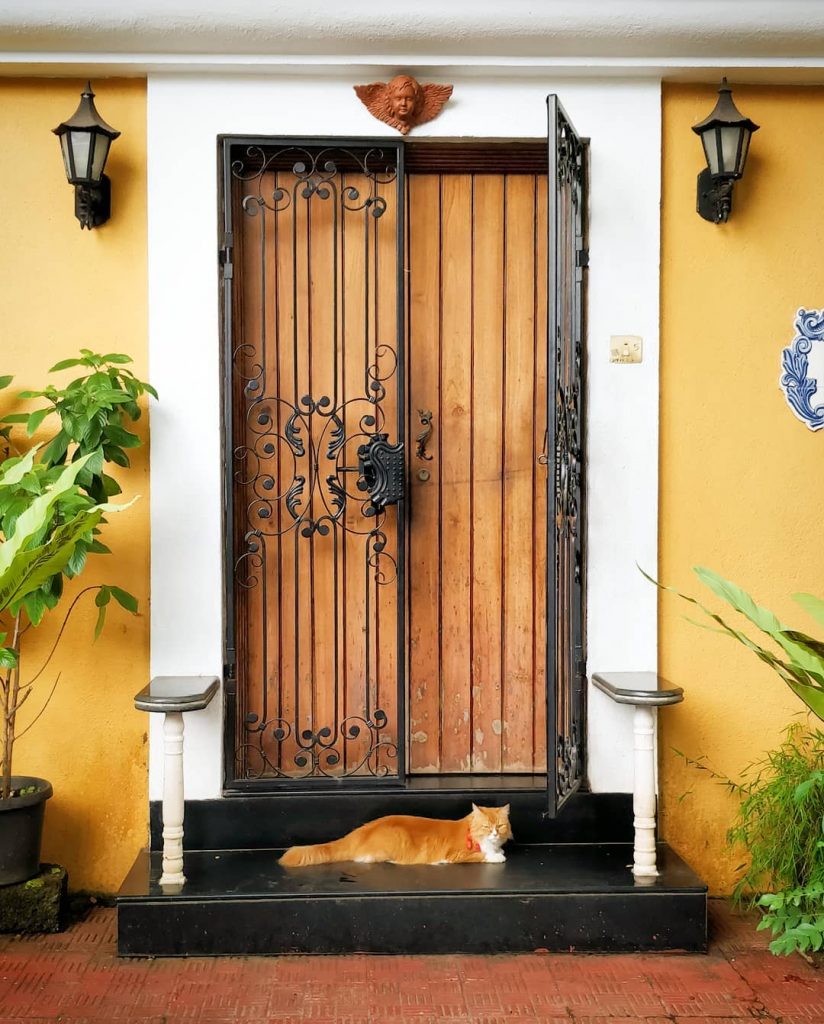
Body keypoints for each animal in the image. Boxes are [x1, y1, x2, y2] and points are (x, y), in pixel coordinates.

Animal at [282, 802, 513, 868]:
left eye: (500, 826)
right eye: (487, 827)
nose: (494, 833)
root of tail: (359, 832)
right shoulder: (457, 854)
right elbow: (483, 855)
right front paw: (497, 855)